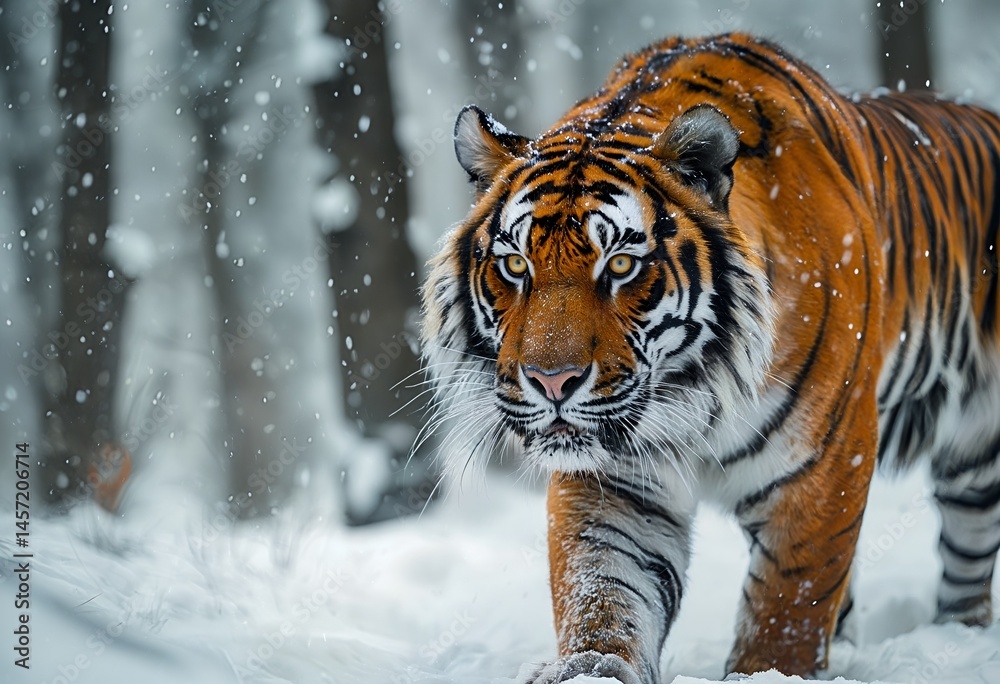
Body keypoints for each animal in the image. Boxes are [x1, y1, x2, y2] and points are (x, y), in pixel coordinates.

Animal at [420, 32, 1000, 682]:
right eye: (516, 265)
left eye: (622, 265)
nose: (552, 381)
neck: (692, 392)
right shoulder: (614, 483)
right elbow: (603, 593)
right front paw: (591, 668)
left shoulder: (823, 469)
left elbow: (786, 610)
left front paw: (768, 671)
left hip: (977, 455)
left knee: (967, 557)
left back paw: (957, 638)